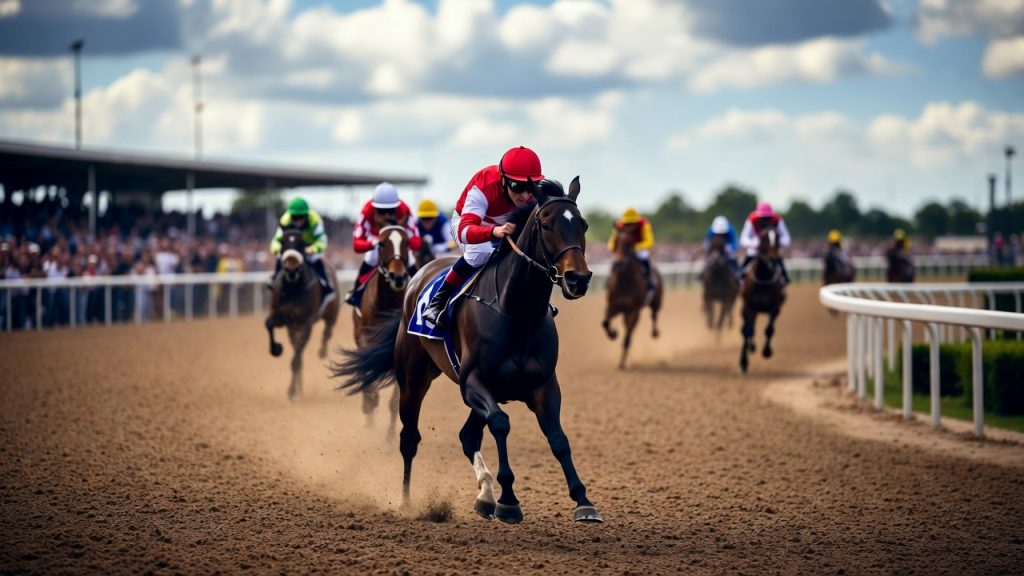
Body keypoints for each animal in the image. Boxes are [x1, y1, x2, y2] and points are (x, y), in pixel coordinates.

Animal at [265, 230, 341, 401]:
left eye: (301, 244)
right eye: (283, 242)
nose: (291, 270)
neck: (293, 288)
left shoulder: (306, 322)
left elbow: (296, 359)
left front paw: (291, 393)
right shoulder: (284, 317)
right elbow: (269, 324)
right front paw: (276, 349)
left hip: (332, 312)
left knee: (328, 331)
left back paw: (322, 351)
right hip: (292, 327)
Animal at [353, 225, 412, 435]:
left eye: (406, 242)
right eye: (382, 243)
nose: (398, 277)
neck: (388, 301)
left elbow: (396, 398)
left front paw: (390, 435)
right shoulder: (365, 339)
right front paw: (369, 402)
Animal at [601, 226, 662, 369]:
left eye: (629, 243)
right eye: (616, 240)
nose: (618, 263)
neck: (625, 281)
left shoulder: (633, 310)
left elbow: (628, 336)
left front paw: (622, 363)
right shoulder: (612, 305)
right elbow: (605, 322)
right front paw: (613, 333)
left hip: (656, 301)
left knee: (654, 314)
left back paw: (655, 332)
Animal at [738, 227, 786, 375]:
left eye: (778, 238)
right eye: (763, 239)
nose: (774, 259)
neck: (764, 277)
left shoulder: (775, 307)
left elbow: (769, 329)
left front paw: (766, 351)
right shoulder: (749, 307)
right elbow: (747, 331)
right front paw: (743, 363)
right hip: (746, 309)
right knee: (747, 329)